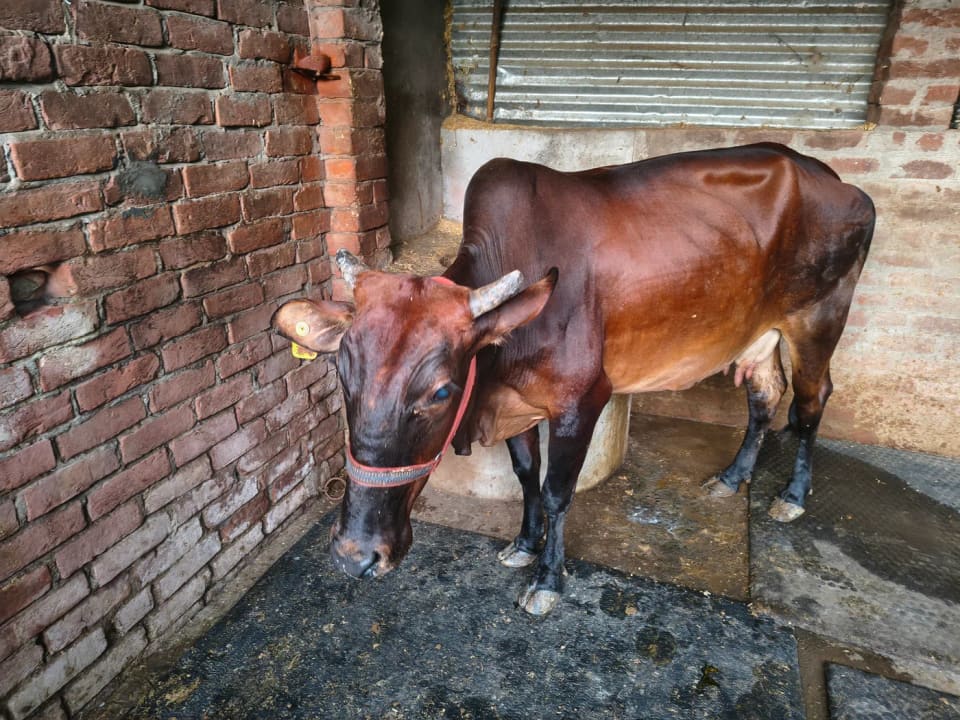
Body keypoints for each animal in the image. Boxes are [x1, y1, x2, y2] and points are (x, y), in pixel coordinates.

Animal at [273, 143, 875, 615]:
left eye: (441, 390)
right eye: (341, 372)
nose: (354, 557)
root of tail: (833, 177)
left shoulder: (582, 402)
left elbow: (557, 491)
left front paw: (547, 580)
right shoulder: (516, 404)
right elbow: (525, 475)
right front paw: (523, 543)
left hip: (819, 319)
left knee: (810, 402)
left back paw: (792, 495)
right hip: (761, 331)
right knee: (763, 396)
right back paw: (732, 478)